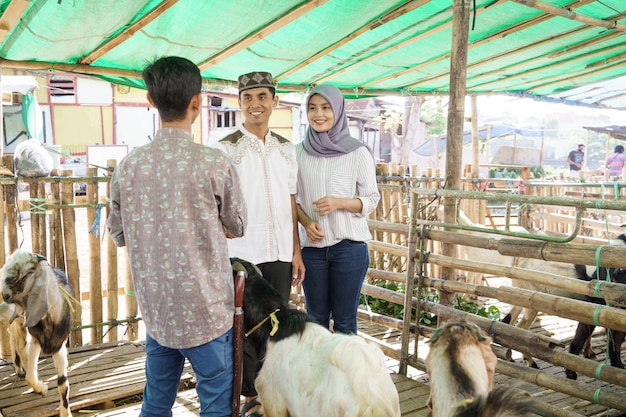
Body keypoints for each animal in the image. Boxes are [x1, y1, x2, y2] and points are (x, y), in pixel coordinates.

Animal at [0, 249, 73, 416]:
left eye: (28, 272)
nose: (5, 295)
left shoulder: (59, 345)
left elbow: (62, 383)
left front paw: (65, 412)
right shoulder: (35, 339)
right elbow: (31, 376)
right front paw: (41, 388)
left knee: (16, 343)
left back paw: (19, 369)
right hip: (17, 323)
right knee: (17, 344)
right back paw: (21, 370)